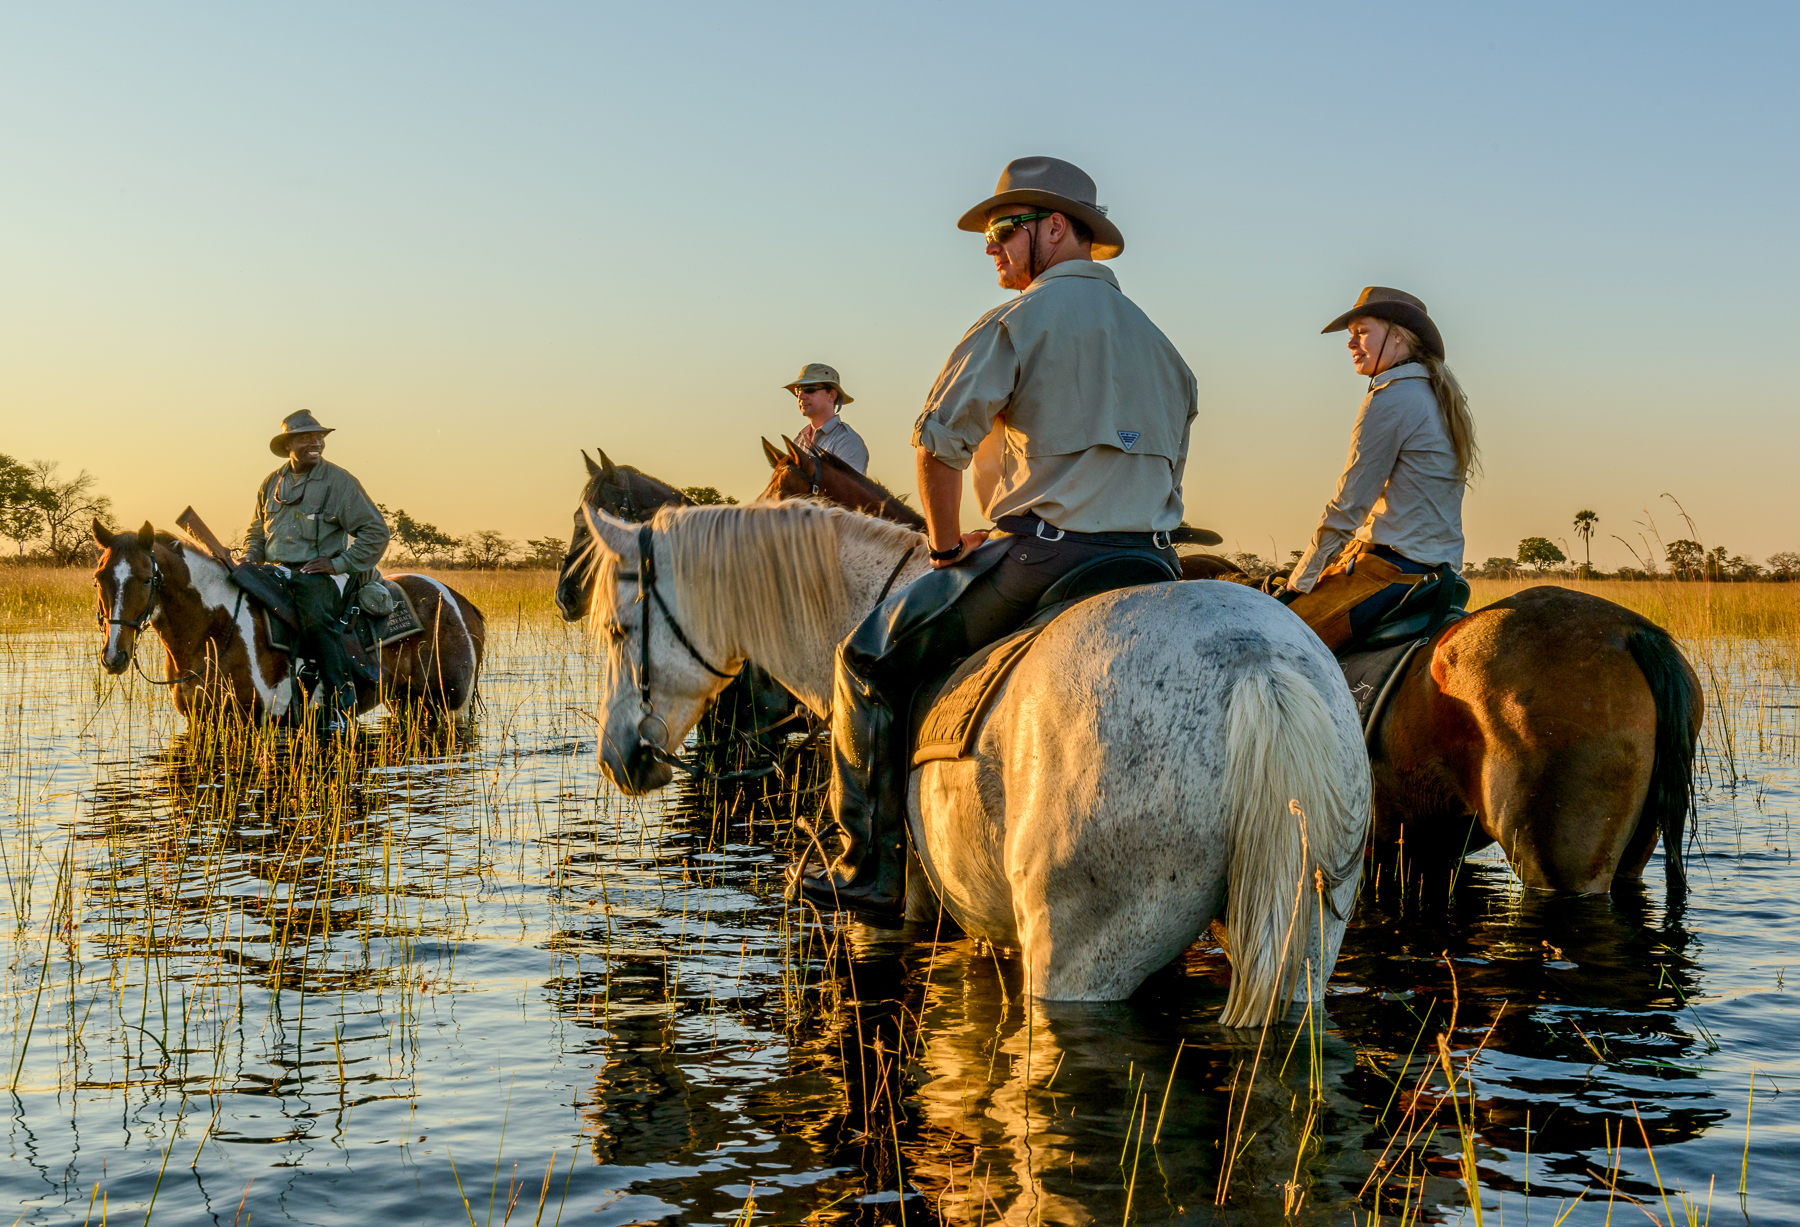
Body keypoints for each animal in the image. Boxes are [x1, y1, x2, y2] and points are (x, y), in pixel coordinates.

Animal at [91, 521, 486, 723]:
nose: (114, 656)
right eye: (99, 578)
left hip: (451, 708)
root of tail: (461, 603)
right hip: (408, 704)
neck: (216, 629)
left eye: (146, 579)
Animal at [583, 496, 1368, 1021]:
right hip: (1303, 945)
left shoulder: (907, 909)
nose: (618, 756)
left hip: (1082, 955)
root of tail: (1256, 664)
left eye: (619, 630)